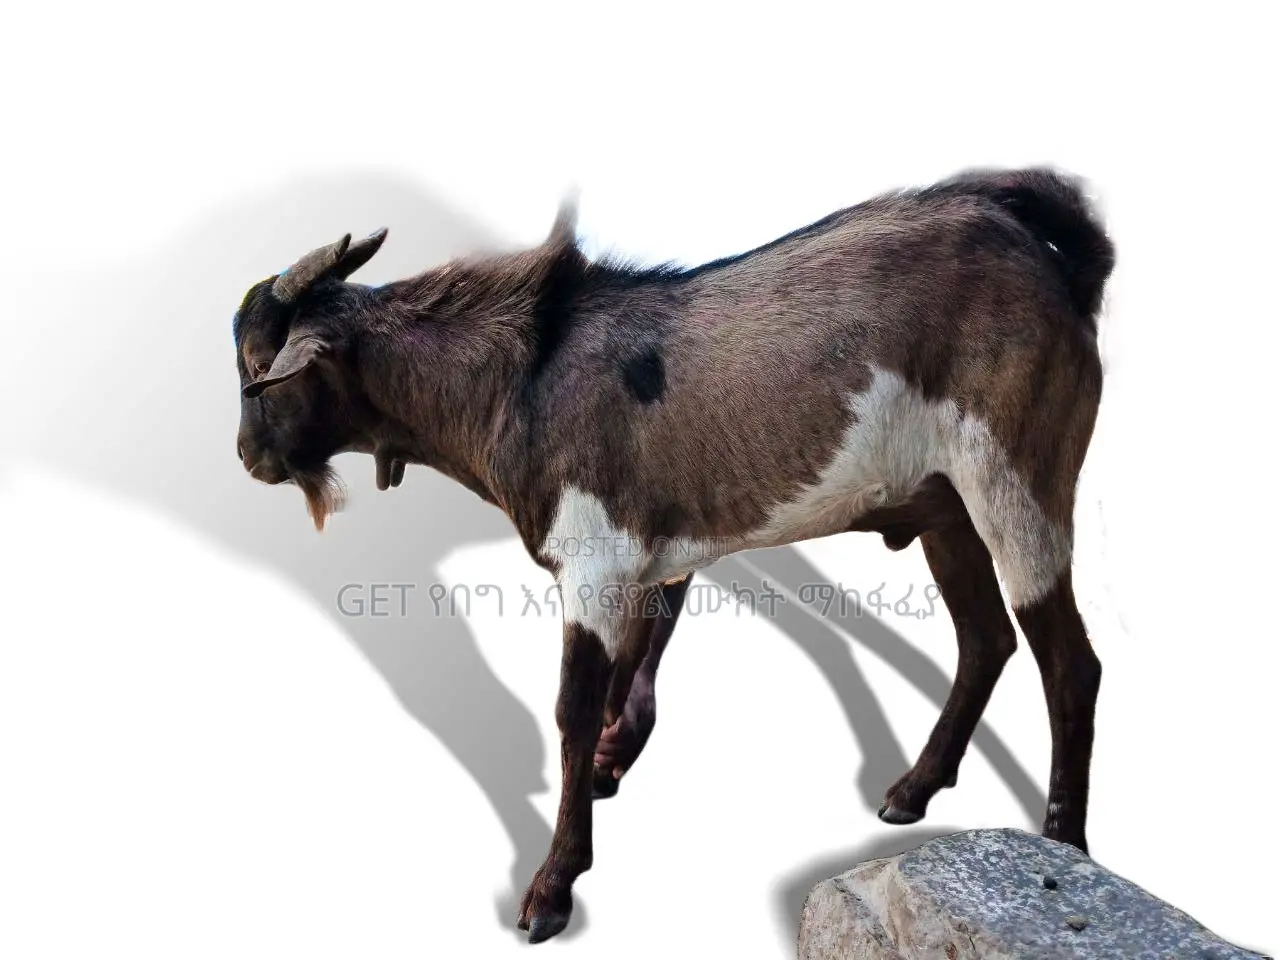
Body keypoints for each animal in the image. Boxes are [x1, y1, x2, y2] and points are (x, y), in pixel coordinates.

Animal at [231, 166, 1114, 944]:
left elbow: (574, 707)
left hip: (1017, 479)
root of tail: (1048, 257)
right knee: (986, 639)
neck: (522, 375)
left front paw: (552, 888)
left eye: (257, 374)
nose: (247, 458)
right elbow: (634, 663)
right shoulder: (653, 557)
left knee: (1069, 662)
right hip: (946, 507)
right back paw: (914, 788)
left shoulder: (591, 563)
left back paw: (1063, 848)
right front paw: (609, 772)